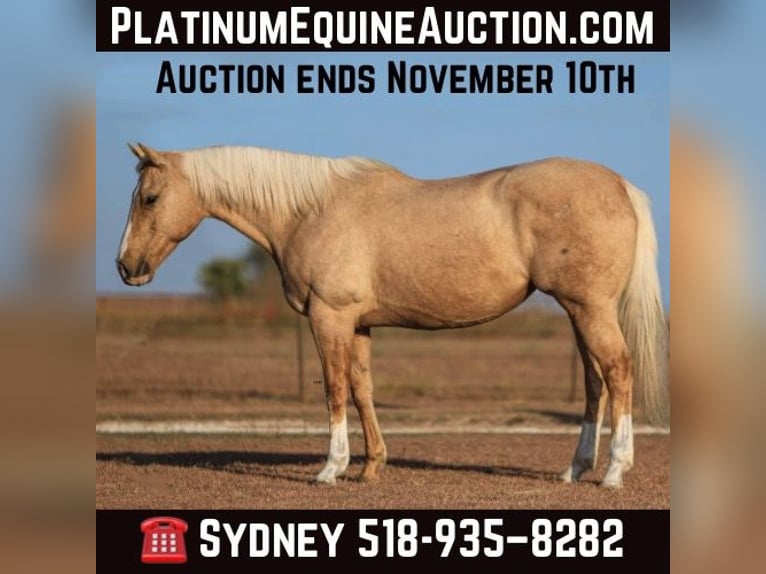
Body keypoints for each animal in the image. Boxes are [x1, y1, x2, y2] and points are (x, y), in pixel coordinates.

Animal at [116, 142, 668, 488]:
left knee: (618, 371)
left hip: (590, 309)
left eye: (150, 198)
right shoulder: (359, 324)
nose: (126, 267)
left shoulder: (329, 318)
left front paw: (330, 468)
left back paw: (614, 471)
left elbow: (334, 389)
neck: (310, 211)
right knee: (596, 382)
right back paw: (575, 469)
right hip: (579, 311)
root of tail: (620, 185)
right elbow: (362, 388)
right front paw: (370, 467)